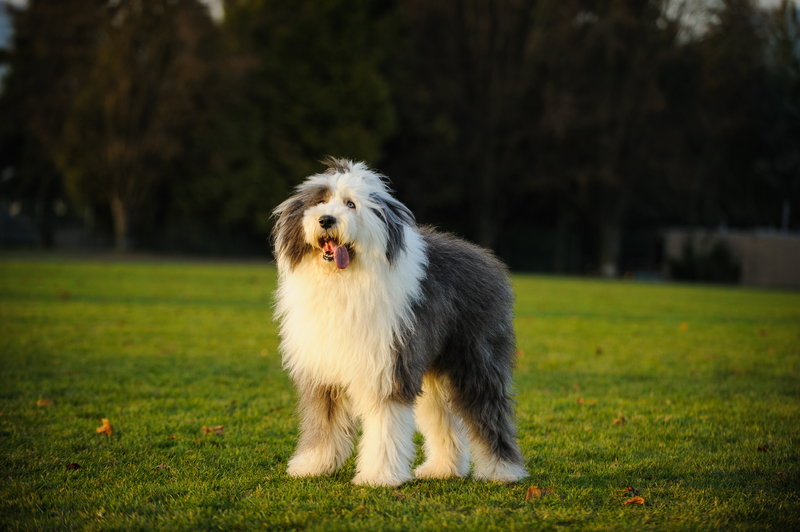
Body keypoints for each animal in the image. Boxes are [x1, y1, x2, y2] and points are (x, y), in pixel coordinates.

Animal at [272, 159, 528, 486]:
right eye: (319, 201)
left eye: (350, 204)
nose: (327, 219)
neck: (343, 281)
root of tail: (485, 257)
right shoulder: (324, 369)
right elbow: (324, 422)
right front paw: (313, 465)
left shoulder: (387, 366)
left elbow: (385, 426)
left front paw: (378, 476)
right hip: (433, 369)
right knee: (441, 415)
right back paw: (443, 468)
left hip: (475, 358)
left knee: (486, 408)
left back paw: (501, 470)